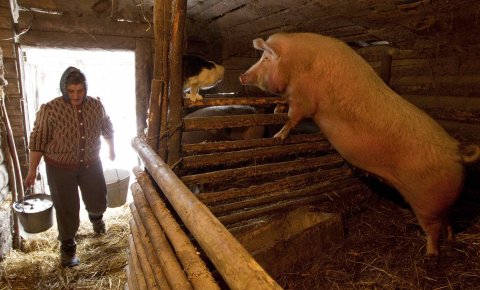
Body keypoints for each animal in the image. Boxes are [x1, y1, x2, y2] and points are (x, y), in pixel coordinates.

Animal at [240, 32, 480, 256]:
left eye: (265, 58)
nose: (242, 77)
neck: (297, 64)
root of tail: (457, 153)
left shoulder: (303, 99)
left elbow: (293, 117)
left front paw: (277, 137)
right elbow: (283, 103)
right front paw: (275, 111)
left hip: (426, 204)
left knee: (433, 230)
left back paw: (430, 255)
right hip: (443, 204)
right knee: (448, 222)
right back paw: (451, 241)